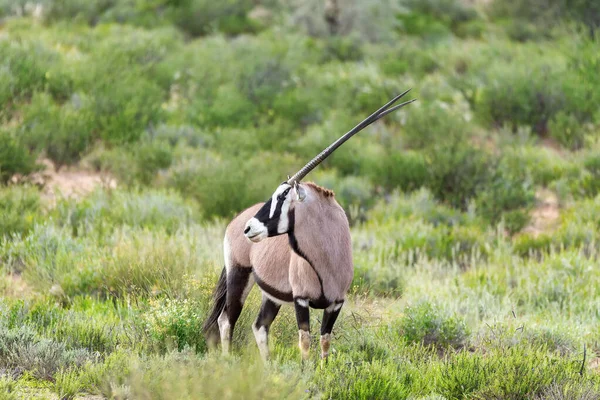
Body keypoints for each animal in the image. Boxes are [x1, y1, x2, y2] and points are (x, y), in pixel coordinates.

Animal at [204, 91, 414, 362]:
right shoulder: (301, 300)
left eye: (283, 196)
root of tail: (236, 220)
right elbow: (304, 342)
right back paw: (228, 361)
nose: (249, 228)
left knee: (259, 326)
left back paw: (267, 365)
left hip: (270, 296)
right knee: (226, 320)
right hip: (239, 276)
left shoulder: (336, 303)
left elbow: (325, 342)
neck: (327, 254)